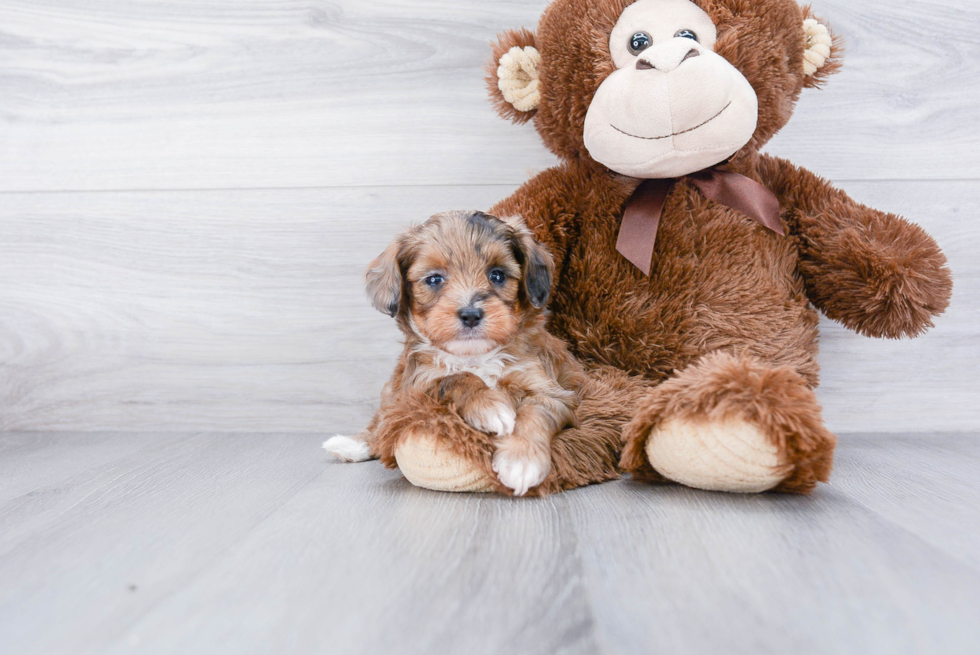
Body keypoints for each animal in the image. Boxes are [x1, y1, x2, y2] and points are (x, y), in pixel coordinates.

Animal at [326, 211, 592, 498]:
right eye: (434, 279)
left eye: (497, 275)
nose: (471, 314)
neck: (475, 356)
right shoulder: (416, 385)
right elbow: (454, 378)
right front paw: (489, 405)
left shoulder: (550, 389)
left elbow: (534, 413)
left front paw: (521, 460)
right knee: (382, 420)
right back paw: (353, 444)